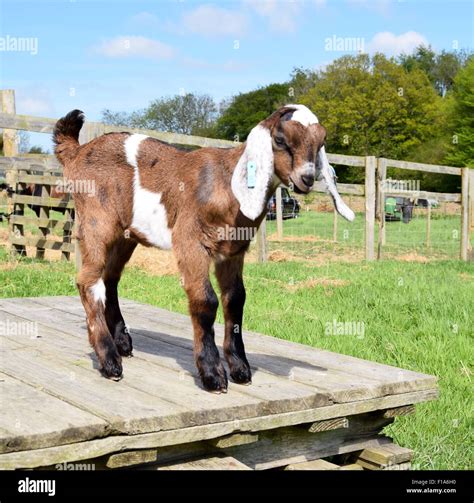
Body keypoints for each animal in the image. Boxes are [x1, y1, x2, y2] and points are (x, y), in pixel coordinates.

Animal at [53, 104, 354, 392]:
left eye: (321, 140)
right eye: (280, 139)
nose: (307, 178)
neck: (227, 184)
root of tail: (77, 152)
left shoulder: (233, 250)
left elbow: (235, 299)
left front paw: (240, 368)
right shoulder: (190, 241)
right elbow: (206, 300)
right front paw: (212, 374)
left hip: (127, 233)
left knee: (110, 278)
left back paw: (122, 343)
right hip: (97, 220)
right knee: (89, 281)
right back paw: (109, 360)